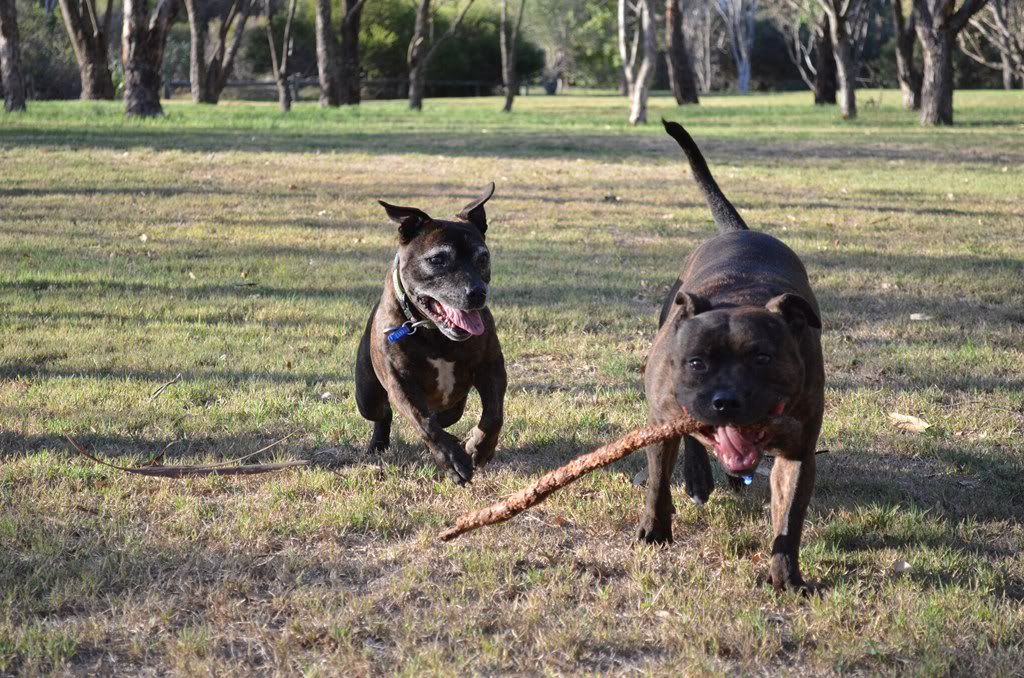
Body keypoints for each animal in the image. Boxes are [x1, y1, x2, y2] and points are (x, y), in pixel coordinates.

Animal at [356, 183, 507, 485]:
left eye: (483, 257)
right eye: (437, 259)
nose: (477, 293)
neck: (434, 333)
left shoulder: (492, 367)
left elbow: (494, 414)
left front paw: (480, 448)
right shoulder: (400, 382)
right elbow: (424, 423)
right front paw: (453, 461)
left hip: (453, 407)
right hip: (367, 396)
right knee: (384, 414)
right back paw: (379, 444)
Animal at [638, 122, 823, 594]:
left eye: (762, 358)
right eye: (697, 362)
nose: (726, 401)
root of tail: (736, 230)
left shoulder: (798, 451)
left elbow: (789, 518)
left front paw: (785, 574)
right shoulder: (661, 419)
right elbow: (659, 484)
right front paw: (655, 529)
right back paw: (699, 479)